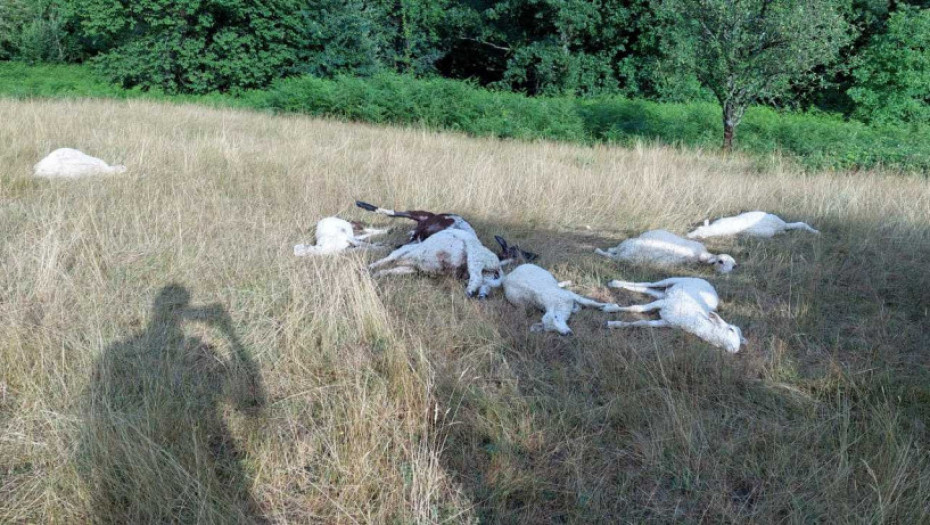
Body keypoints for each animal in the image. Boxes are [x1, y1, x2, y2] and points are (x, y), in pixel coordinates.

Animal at [368, 229, 504, 298]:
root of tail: (496, 263)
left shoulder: (409, 256)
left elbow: (387, 261)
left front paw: (370, 268)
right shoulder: (411, 267)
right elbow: (390, 269)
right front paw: (376, 273)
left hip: (474, 254)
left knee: (476, 277)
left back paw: (468, 291)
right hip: (487, 272)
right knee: (483, 281)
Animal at [596, 228, 740, 272]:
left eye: (734, 266)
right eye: (720, 261)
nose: (727, 272)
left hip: (624, 251)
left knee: (611, 252)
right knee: (610, 253)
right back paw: (598, 251)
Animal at [600, 276, 748, 354]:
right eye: (731, 329)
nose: (735, 348)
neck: (694, 320)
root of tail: (710, 286)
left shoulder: (665, 322)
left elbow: (641, 322)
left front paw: (613, 324)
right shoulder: (663, 304)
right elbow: (636, 308)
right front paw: (609, 309)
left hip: (666, 294)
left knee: (650, 290)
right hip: (675, 281)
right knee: (650, 284)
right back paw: (614, 283)